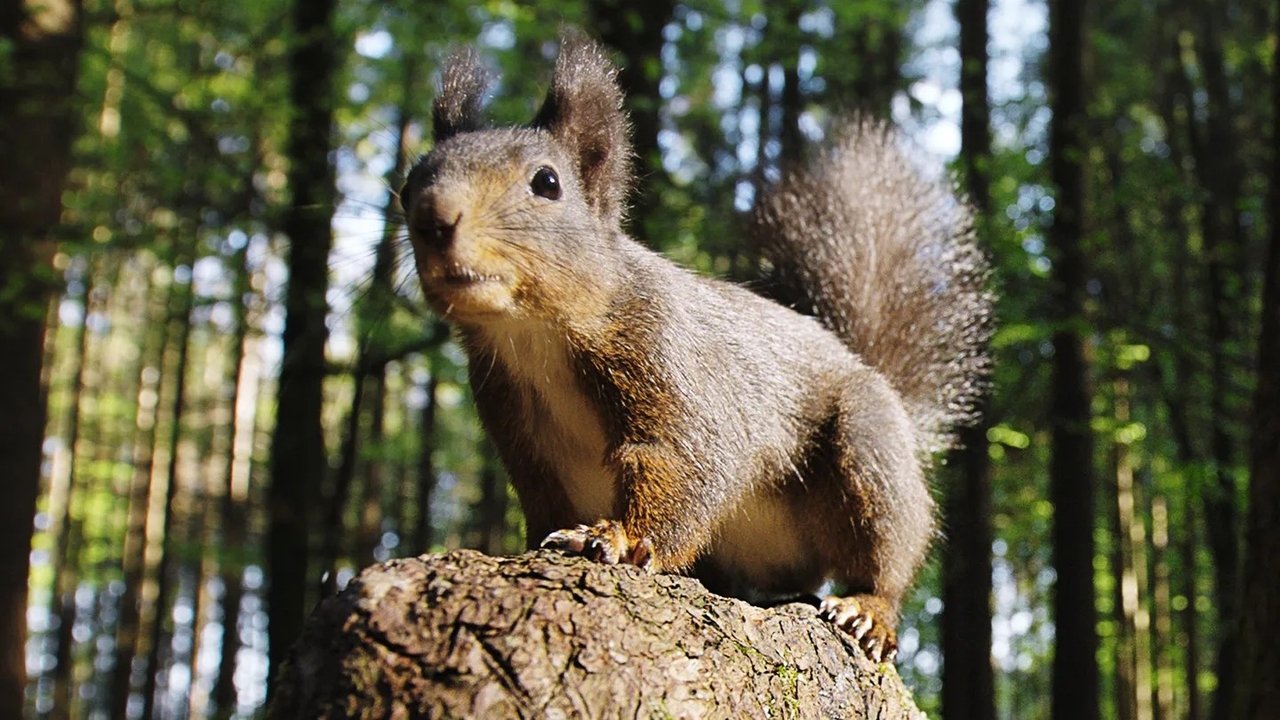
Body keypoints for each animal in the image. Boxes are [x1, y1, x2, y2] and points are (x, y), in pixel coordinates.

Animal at [400, 36, 992, 663]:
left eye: (547, 183)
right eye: (409, 184)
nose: (433, 217)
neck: (535, 337)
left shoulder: (670, 363)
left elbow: (683, 463)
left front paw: (618, 538)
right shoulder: (516, 428)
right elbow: (544, 498)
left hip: (869, 446)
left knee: (885, 551)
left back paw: (868, 611)